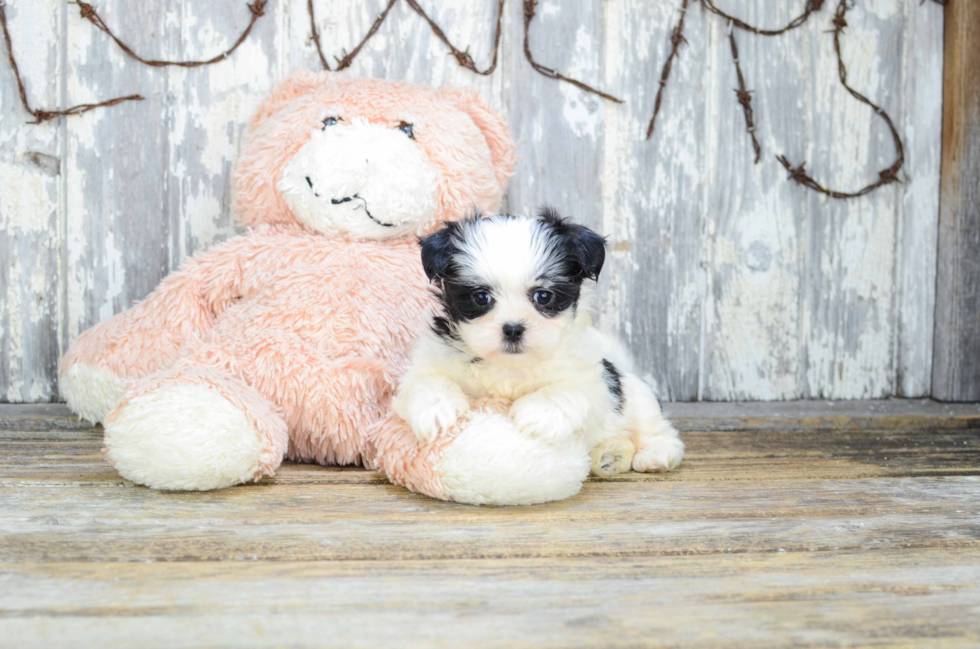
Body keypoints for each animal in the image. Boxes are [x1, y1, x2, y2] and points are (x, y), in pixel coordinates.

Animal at [394, 209, 684, 476]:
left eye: (543, 296)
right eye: (481, 297)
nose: (513, 329)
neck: (509, 366)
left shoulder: (594, 381)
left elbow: (570, 389)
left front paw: (536, 413)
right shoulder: (433, 359)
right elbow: (427, 379)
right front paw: (436, 410)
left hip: (637, 400)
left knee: (657, 431)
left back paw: (655, 454)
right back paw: (609, 455)